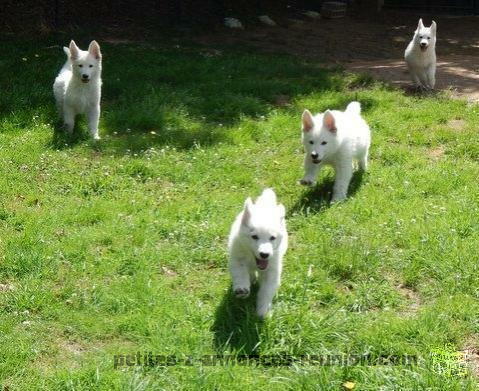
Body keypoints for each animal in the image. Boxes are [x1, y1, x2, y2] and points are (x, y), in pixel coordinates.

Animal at [229, 188, 288, 320]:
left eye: (272, 238)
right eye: (254, 237)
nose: (264, 254)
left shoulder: (271, 270)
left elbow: (266, 291)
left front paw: (263, 311)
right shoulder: (237, 258)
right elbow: (240, 274)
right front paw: (242, 289)